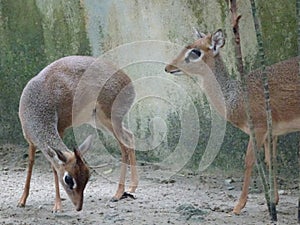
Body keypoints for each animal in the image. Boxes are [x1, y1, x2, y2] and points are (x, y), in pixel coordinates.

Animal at [17, 55, 137, 212]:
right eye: (69, 179)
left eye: (87, 177)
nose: (79, 206)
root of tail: (129, 82)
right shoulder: (30, 139)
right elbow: (31, 162)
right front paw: (22, 200)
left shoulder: (60, 128)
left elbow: (54, 167)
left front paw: (57, 206)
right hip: (99, 121)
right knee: (130, 137)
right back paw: (132, 188)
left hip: (110, 118)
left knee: (125, 145)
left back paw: (118, 193)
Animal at [165, 28, 298, 214]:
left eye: (196, 52)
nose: (168, 67)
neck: (234, 96)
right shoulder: (272, 134)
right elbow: (270, 160)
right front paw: (273, 201)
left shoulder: (259, 129)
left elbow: (250, 161)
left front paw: (238, 206)